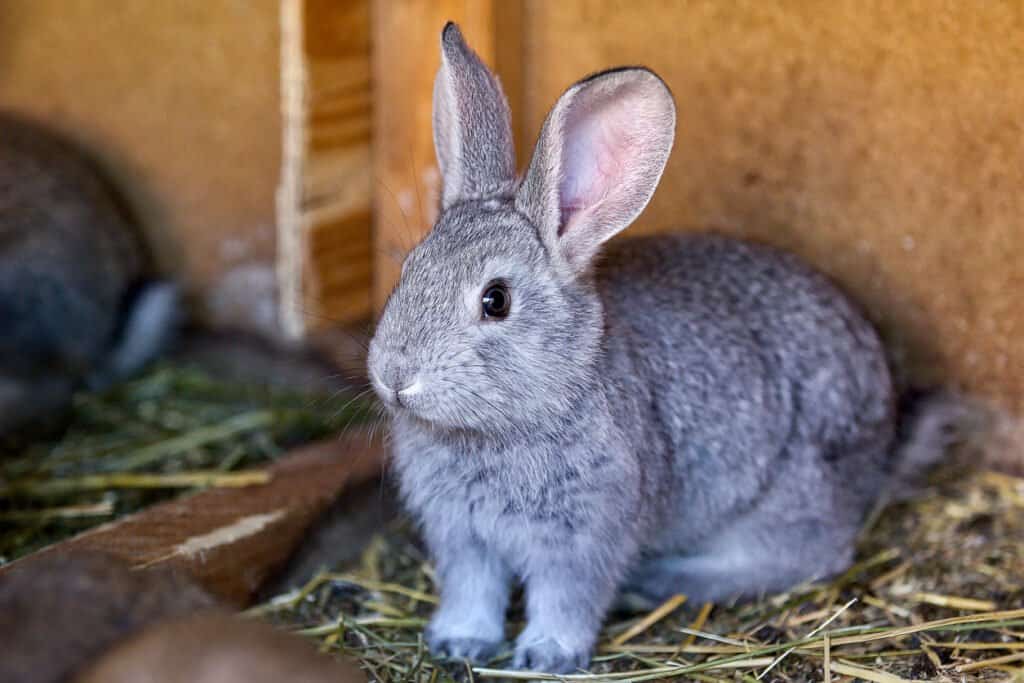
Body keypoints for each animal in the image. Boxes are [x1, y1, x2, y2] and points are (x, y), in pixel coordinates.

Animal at [368, 24, 958, 675]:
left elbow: (567, 598)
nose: (395, 375)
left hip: (785, 495)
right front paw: (459, 643)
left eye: (495, 300)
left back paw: (666, 580)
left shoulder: (585, 536)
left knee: (810, 555)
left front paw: (546, 656)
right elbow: (473, 592)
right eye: (408, 269)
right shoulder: (463, 538)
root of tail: (884, 434)